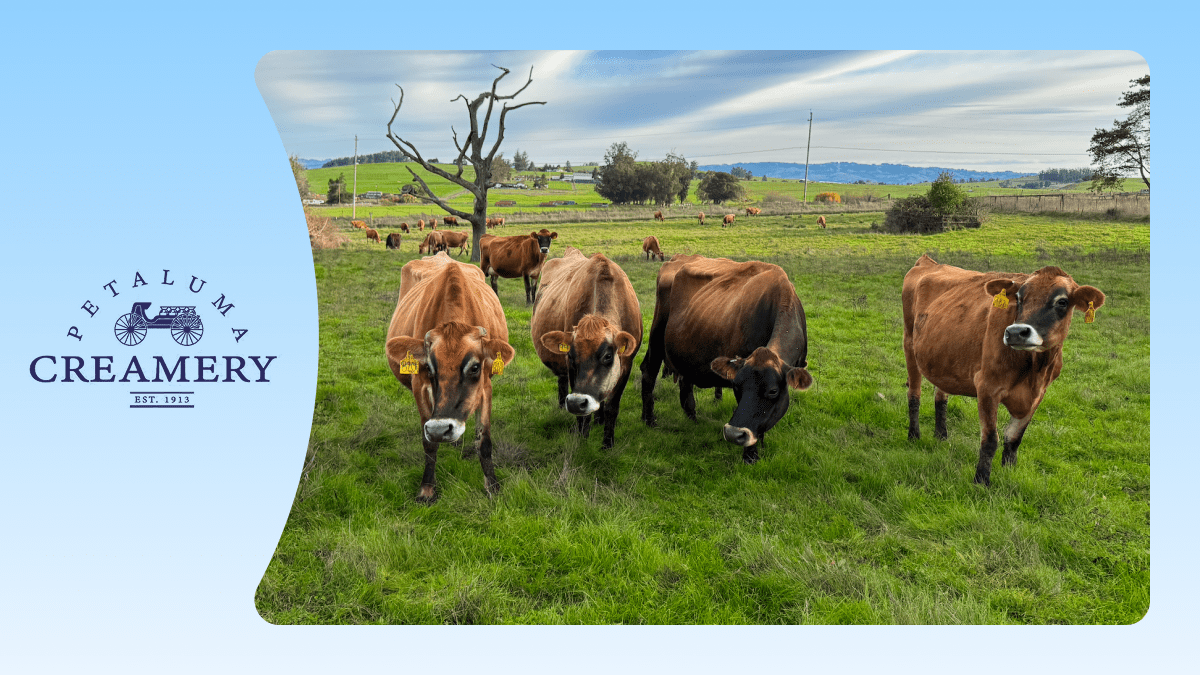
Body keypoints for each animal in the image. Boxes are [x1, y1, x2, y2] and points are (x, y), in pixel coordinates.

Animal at [385, 252, 516, 502]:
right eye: (429, 368)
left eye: (474, 367)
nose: (441, 429)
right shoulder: (419, 387)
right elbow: (429, 444)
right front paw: (426, 489)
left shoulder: (485, 387)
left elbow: (484, 440)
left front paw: (492, 486)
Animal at [530, 248, 643, 448]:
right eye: (571, 356)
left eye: (607, 356)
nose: (575, 403)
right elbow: (583, 415)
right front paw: (582, 438)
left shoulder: (627, 363)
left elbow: (612, 406)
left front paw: (607, 444)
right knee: (562, 382)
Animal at [640, 255, 813, 464]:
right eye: (737, 386)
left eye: (772, 391)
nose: (733, 434)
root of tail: (678, 258)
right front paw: (750, 455)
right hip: (657, 334)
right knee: (648, 372)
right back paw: (649, 419)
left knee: (685, 382)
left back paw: (692, 418)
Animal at [901, 254, 1106, 486]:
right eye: (1019, 297)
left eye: (1062, 301)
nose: (1016, 332)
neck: (1035, 370)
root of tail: (928, 262)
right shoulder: (987, 387)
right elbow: (991, 440)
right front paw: (981, 481)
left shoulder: (1039, 395)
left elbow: (1014, 439)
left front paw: (1009, 472)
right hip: (909, 344)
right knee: (914, 394)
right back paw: (914, 436)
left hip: (941, 357)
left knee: (941, 395)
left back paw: (941, 436)